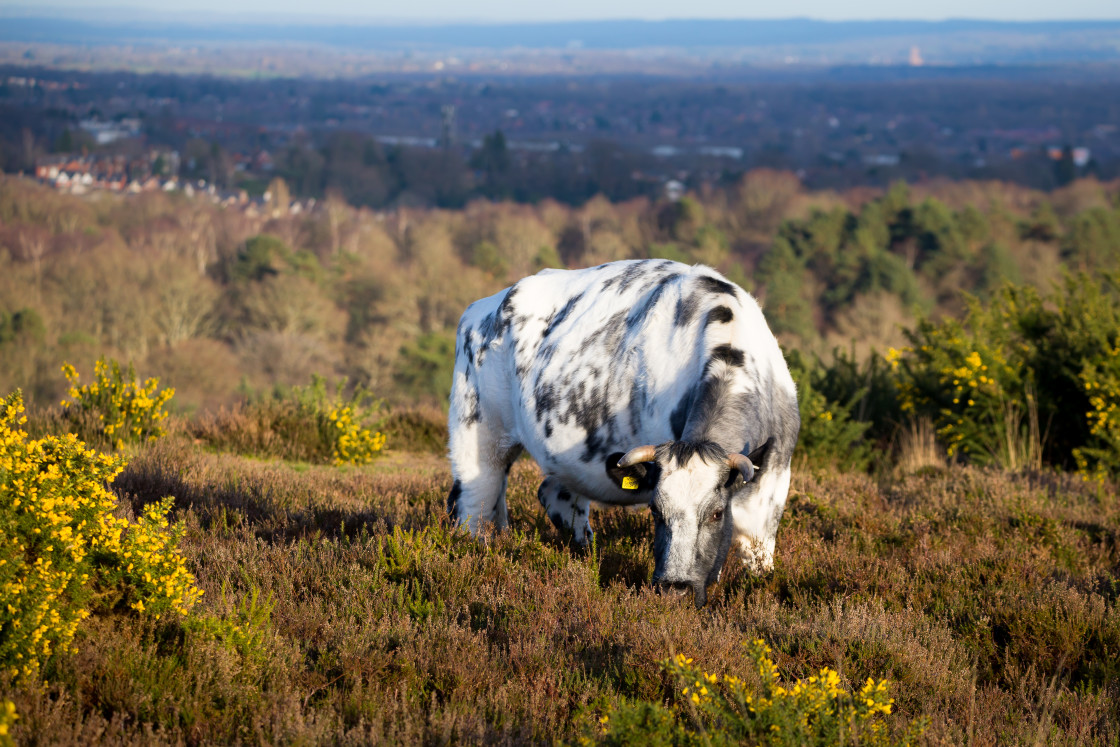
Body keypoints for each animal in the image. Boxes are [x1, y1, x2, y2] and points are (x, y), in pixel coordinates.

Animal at [441, 259, 801, 604]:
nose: (675, 590)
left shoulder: (772, 484)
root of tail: (486, 306)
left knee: (555, 496)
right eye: (655, 510)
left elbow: (759, 562)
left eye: (716, 513)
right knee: (473, 504)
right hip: (476, 434)